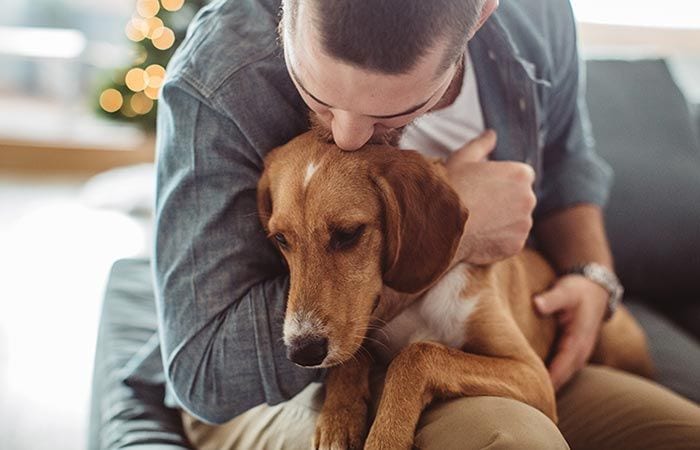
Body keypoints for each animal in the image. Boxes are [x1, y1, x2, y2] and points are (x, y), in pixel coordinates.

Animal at [258, 132, 656, 448]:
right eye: (280, 239)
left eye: (348, 234)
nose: (302, 352)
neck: (418, 302)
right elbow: (354, 355)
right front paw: (339, 419)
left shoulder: (533, 373)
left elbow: (418, 354)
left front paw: (386, 436)